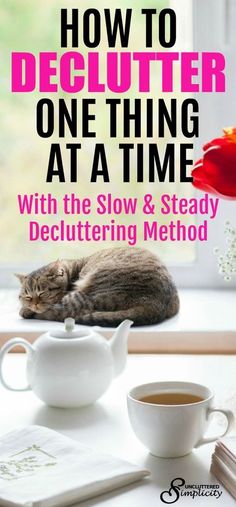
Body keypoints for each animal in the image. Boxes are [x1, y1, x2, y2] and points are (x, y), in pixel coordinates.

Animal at [16, 248, 179, 328]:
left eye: (42, 293)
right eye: (27, 296)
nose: (34, 304)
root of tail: (155, 303)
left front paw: (25, 309)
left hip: (86, 293)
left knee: (60, 313)